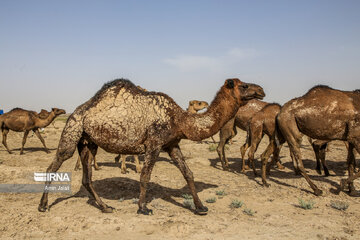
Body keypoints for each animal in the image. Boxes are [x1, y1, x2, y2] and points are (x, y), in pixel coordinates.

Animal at [38, 78, 264, 215]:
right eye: (243, 86)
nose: (261, 90)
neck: (179, 119)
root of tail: (78, 110)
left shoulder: (172, 144)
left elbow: (188, 173)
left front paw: (200, 207)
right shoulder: (154, 144)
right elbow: (145, 176)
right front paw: (143, 208)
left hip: (88, 142)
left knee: (86, 177)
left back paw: (106, 207)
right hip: (72, 130)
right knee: (54, 164)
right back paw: (43, 205)